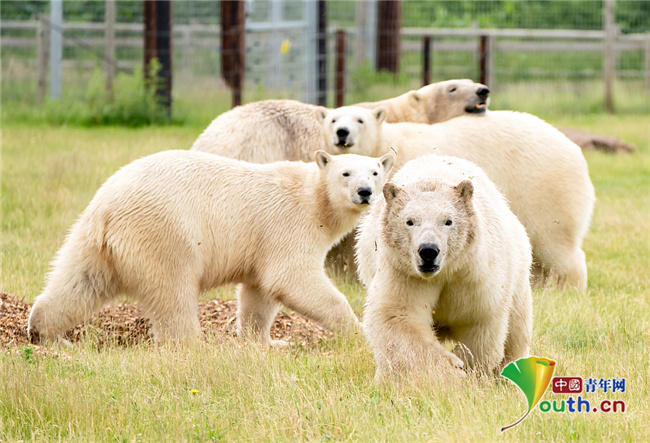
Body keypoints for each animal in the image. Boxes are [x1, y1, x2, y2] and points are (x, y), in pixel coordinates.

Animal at [28, 150, 395, 344]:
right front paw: (355, 331)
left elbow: (259, 294)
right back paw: (193, 343)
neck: (313, 199)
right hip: (164, 231)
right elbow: (290, 277)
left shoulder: (262, 244)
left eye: (375, 172)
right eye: (346, 173)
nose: (364, 192)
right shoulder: (287, 225)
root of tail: (107, 206)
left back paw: (45, 331)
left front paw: (265, 341)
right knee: (173, 292)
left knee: (80, 280)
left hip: (96, 239)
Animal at [356, 154, 532, 380]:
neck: (445, 272)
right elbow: (399, 316)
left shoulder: (474, 274)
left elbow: (480, 321)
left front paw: (468, 368)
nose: (428, 251)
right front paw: (452, 369)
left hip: (519, 274)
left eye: (448, 221)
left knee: (517, 329)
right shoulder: (404, 272)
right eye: (409, 221)